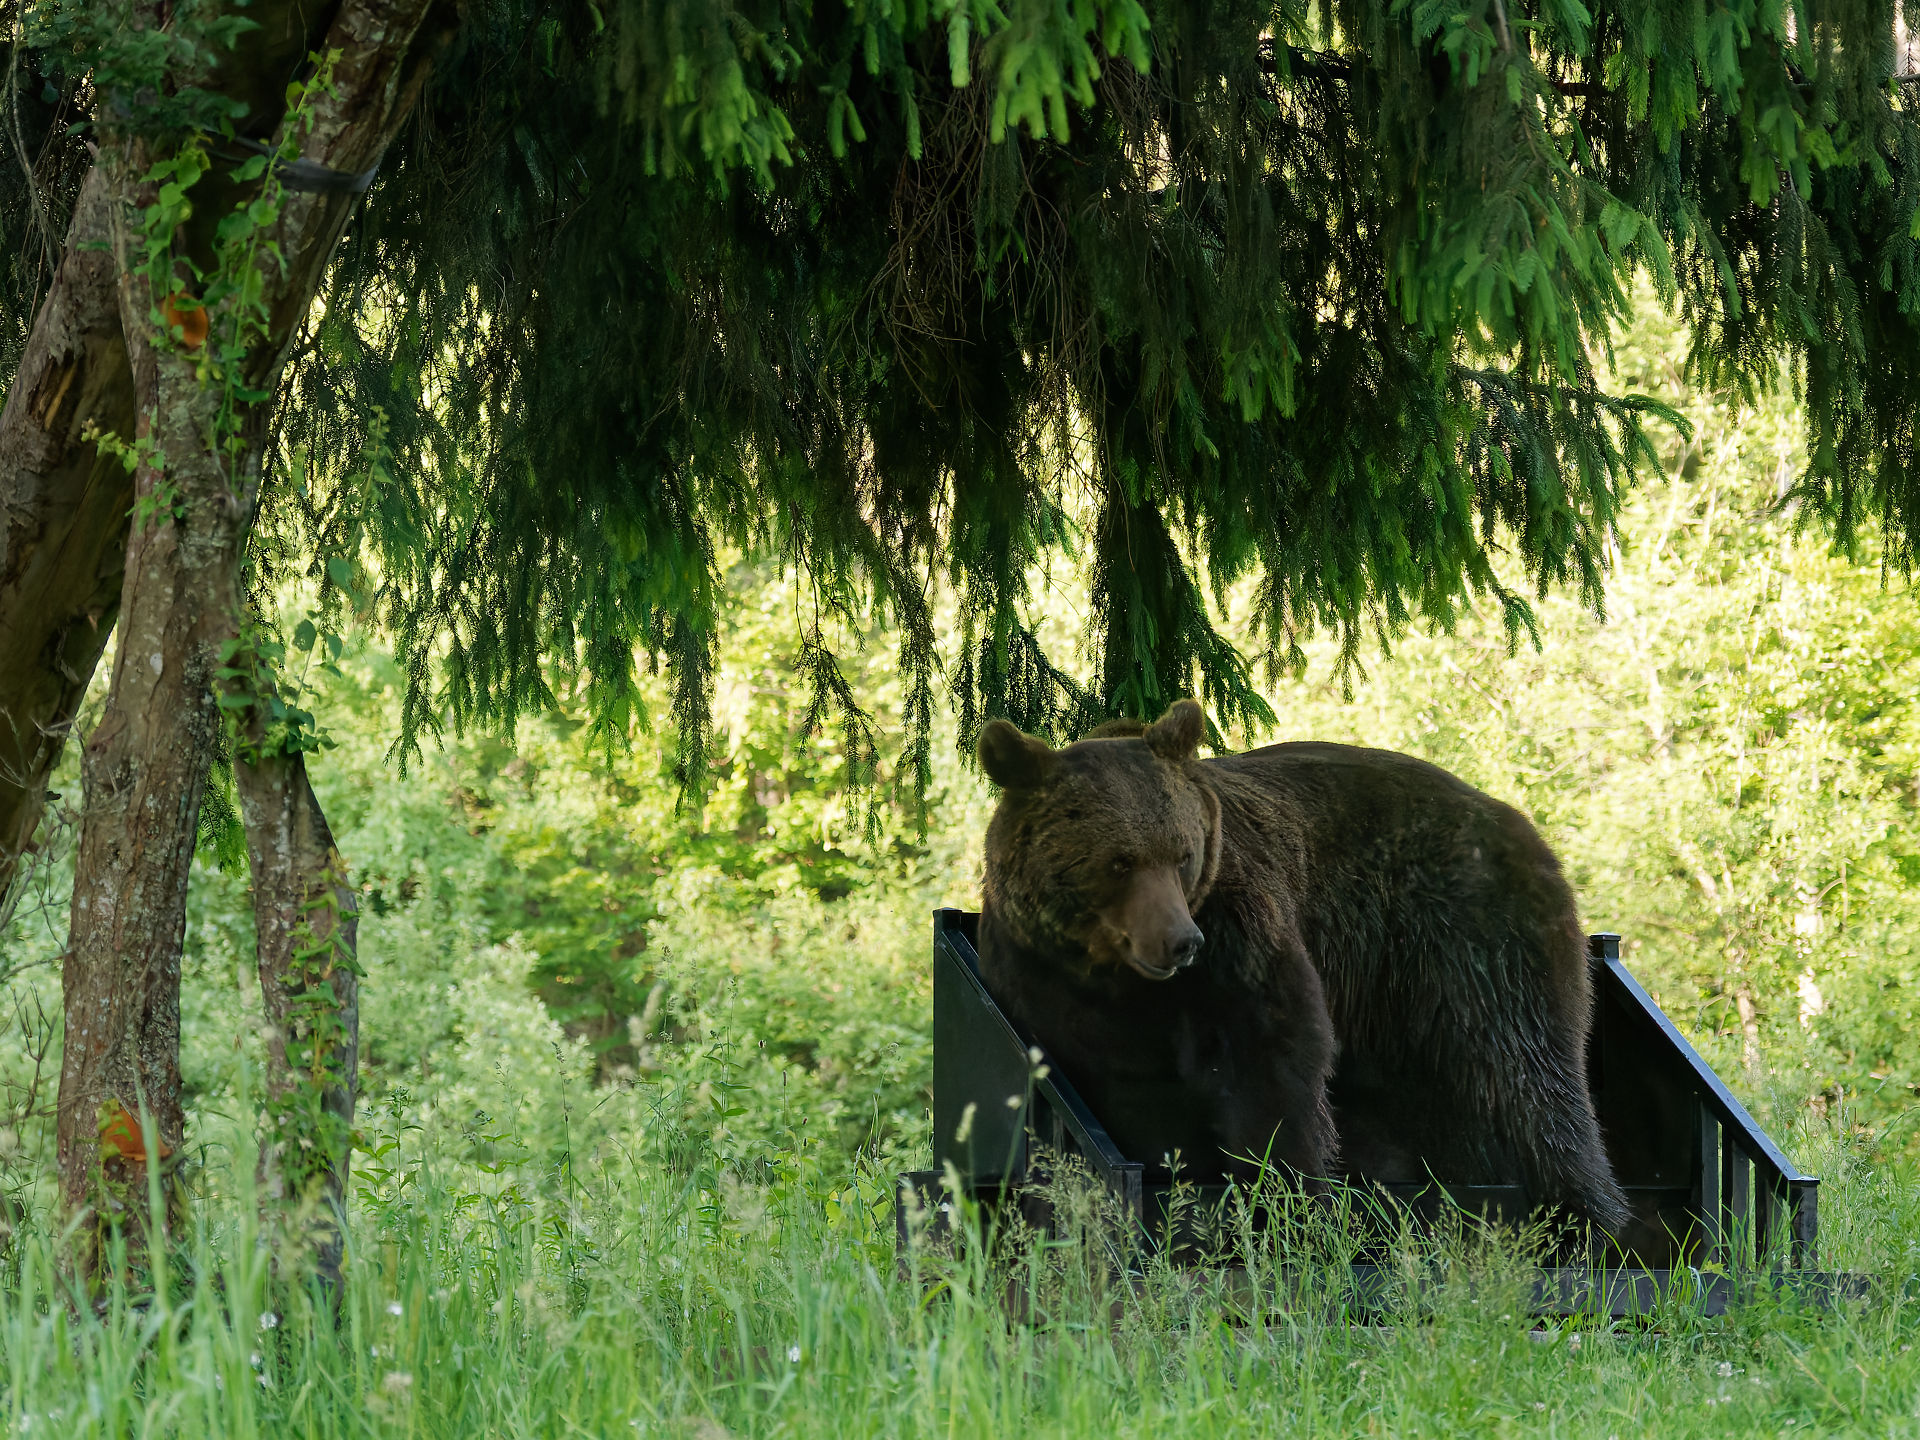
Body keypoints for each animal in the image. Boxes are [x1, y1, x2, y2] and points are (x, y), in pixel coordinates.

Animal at [974, 697, 1631, 1234]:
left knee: (1524, 1075)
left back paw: (1592, 1220)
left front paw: (1287, 1191)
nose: (1180, 941)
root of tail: (1521, 824)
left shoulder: (1236, 935)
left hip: (1467, 942)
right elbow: (1115, 1090)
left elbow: (1271, 1055)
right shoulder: (1047, 982)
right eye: (1118, 862)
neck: (1116, 978)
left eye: (1182, 855)